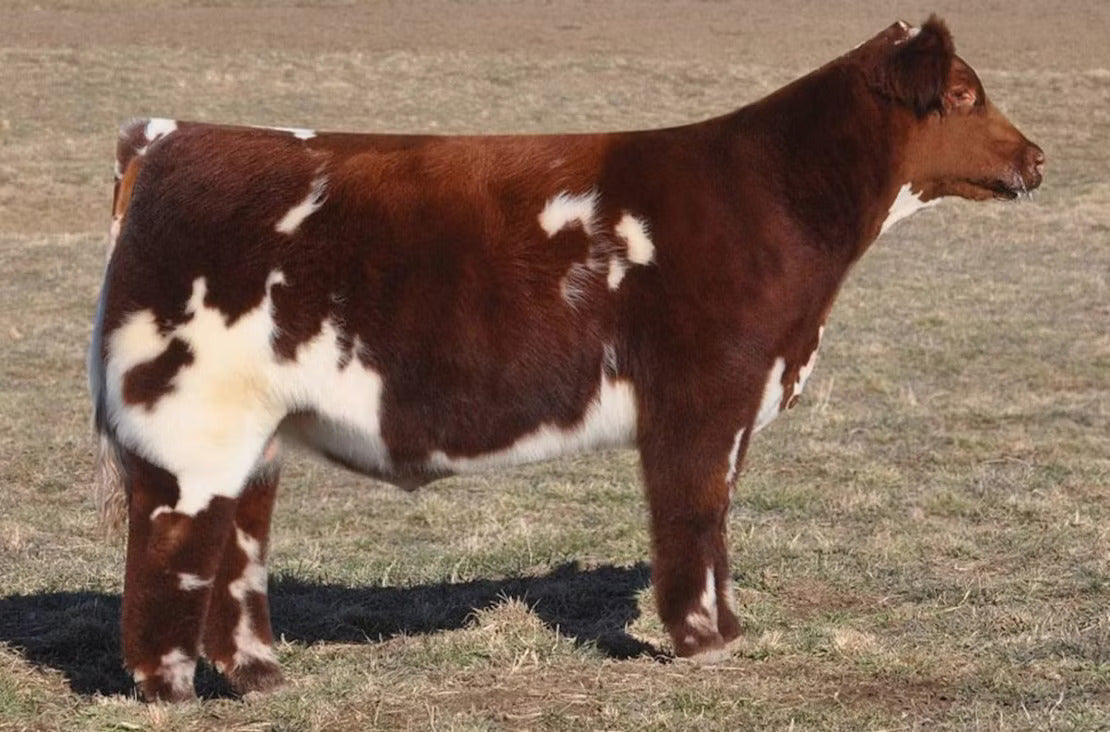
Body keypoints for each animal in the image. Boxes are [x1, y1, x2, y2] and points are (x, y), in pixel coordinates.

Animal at [88, 17, 1043, 701]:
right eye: (963, 94)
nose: (1038, 156)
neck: (770, 198)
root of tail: (166, 137)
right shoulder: (701, 403)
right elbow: (695, 521)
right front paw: (706, 644)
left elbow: (714, 525)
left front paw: (724, 634)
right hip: (191, 423)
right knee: (167, 556)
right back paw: (170, 693)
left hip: (255, 436)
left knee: (236, 553)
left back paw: (261, 678)